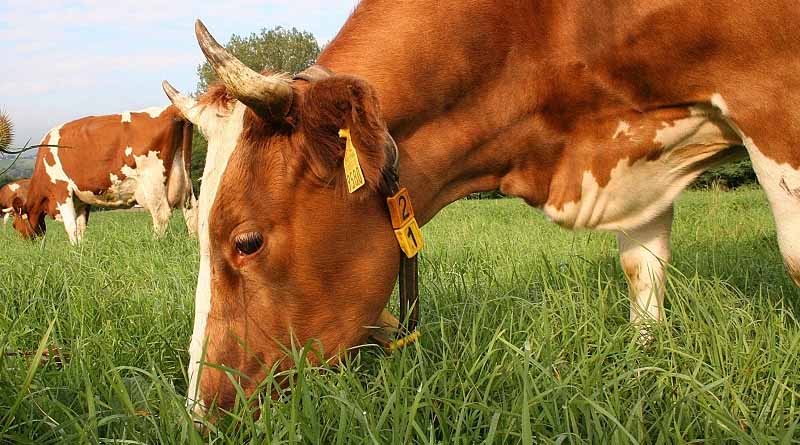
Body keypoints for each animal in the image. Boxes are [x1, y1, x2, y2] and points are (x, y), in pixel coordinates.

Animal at [11, 106, 198, 244]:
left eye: (14, 225)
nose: (24, 244)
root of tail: (169, 109)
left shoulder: (61, 189)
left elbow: (71, 227)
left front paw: (73, 252)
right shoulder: (81, 200)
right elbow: (81, 227)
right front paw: (81, 250)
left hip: (153, 180)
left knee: (161, 213)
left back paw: (155, 243)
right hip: (183, 175)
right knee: (191, 210)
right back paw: (193, 241)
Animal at [166, 0, 800, 413]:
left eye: (246, 241)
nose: (202, 412)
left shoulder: (771, 96)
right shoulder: (635, 154)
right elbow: (642, 272)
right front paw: (648, 366)